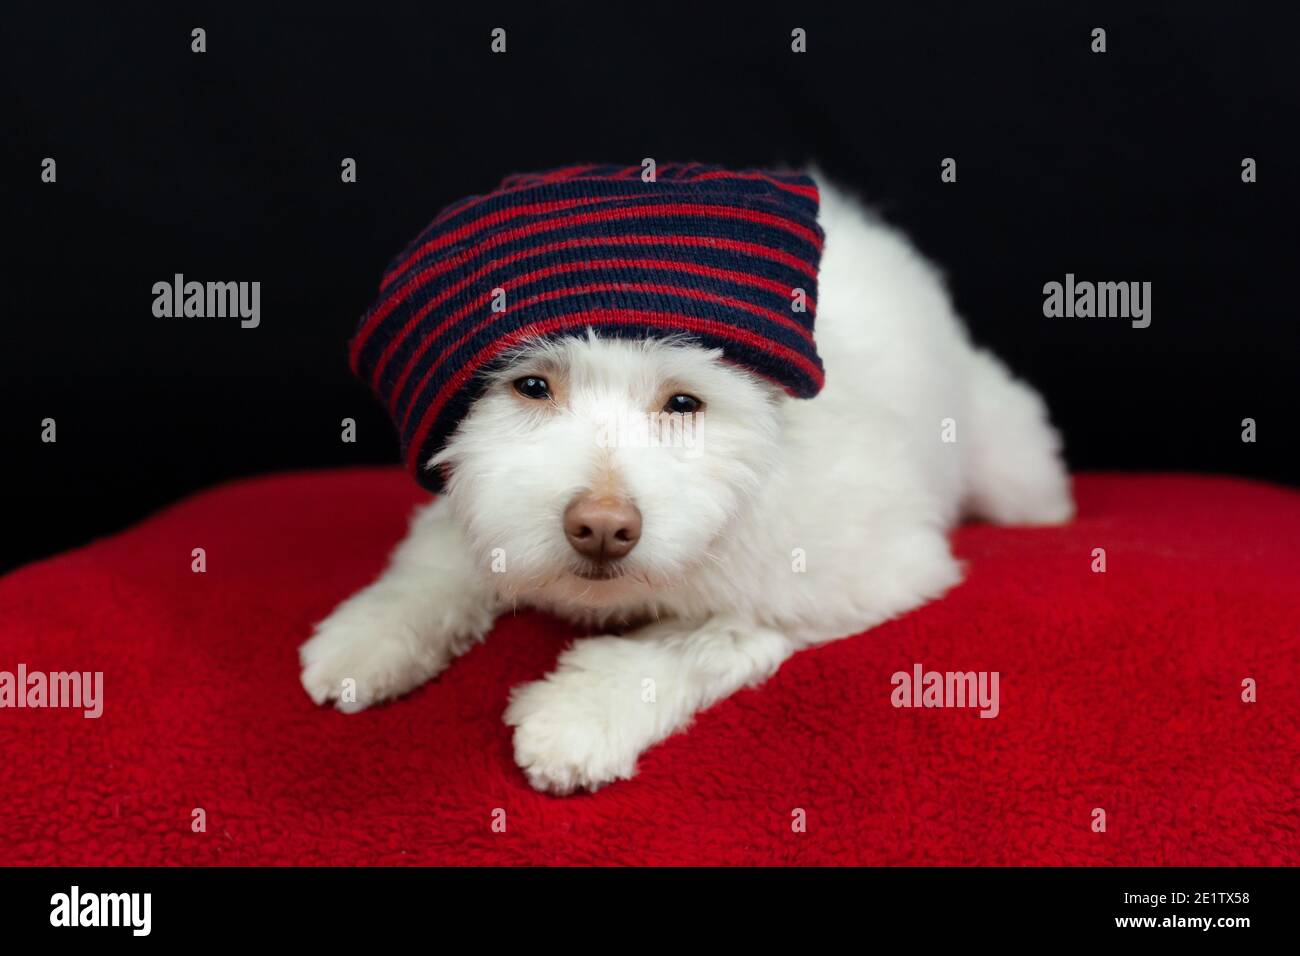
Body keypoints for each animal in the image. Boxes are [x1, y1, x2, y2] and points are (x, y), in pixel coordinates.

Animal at [299, 178, 1071, 790]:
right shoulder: (480, 504)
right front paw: (374, 630)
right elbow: (438, 562)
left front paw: (582, 712)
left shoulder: (860, 574)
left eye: (683, 403)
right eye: (531, 387)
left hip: (1010, 466)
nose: (602, 528)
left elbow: (696, 638)